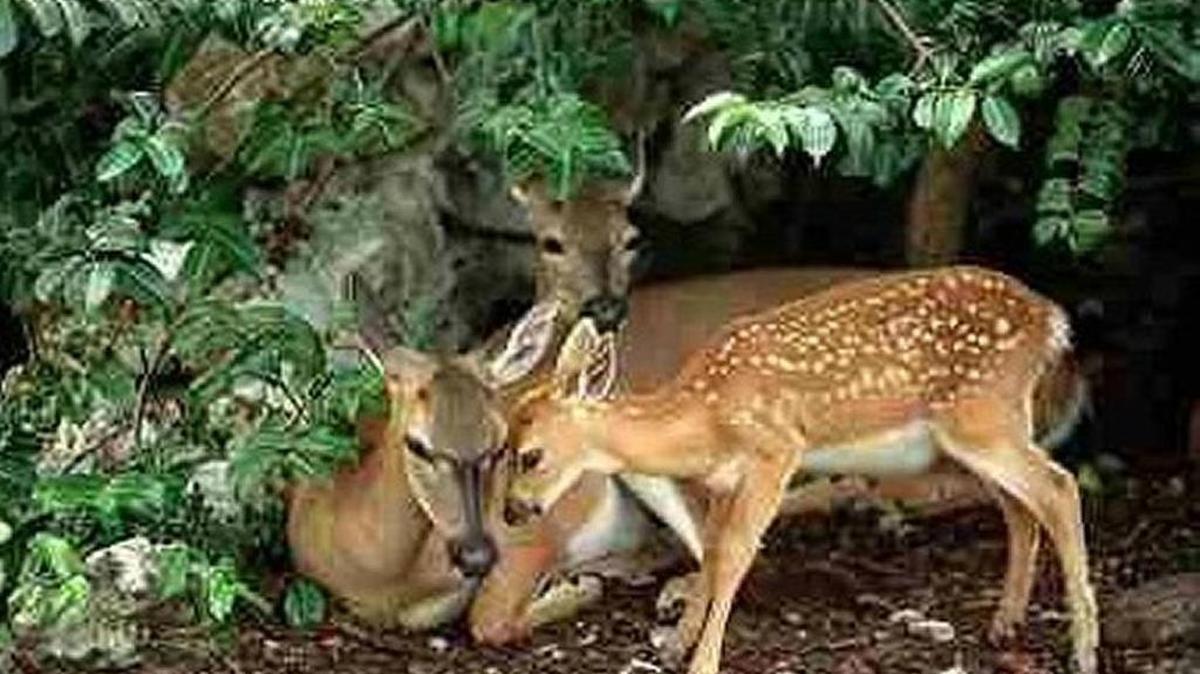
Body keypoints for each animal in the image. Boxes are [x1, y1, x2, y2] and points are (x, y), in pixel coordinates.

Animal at [504, 266, 1100, 674]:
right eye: (503, 444)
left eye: (530, 454)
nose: (512, 511)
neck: (704, 416)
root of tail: (1051, 320)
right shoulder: (723, 481)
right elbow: (712, 548)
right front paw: (676, 644)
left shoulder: (775, 451)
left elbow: (737, 553)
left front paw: (702, 661)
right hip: (976, 432)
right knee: (1021, 508)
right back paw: (1004, 626)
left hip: (982, 416)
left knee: (1060, 486)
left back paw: (1083, 650)